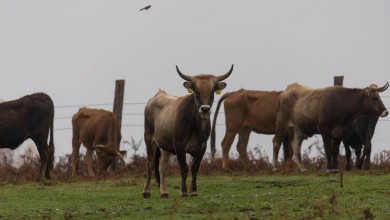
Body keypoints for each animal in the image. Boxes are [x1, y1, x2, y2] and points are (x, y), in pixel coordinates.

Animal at [145, 64, 233, 197]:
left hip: (165, 145)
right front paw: (184, 191)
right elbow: (184, 169)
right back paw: (146, 191)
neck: (196, 127)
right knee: (150, 163)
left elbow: (195, 168)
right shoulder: (179, 146)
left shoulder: (202, 147)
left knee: (162, 165)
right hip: (149, 138)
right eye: (196, 90)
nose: (205, 109)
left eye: (212, 91)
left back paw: (164, 191)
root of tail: (157, 96)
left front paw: (194, 191)